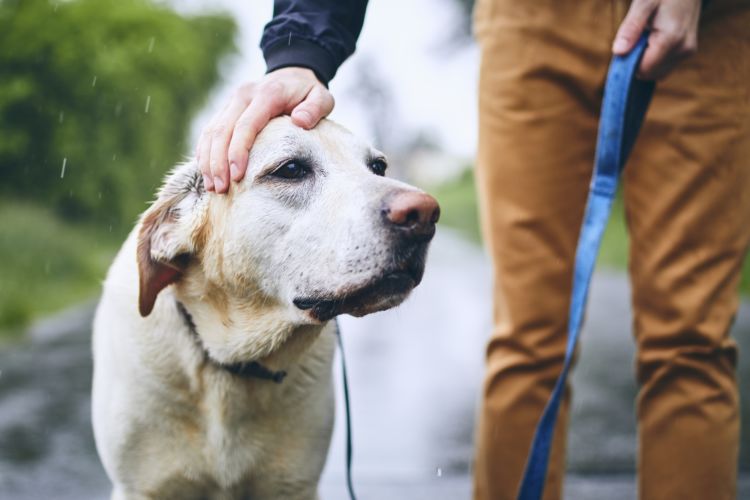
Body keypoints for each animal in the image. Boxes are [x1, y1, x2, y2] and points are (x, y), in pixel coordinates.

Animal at [92, 117, 440, 500]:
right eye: (290, 169)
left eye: (378, 167)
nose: (425, 213)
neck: (233, 363)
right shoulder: (140, 488)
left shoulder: (294, 486)